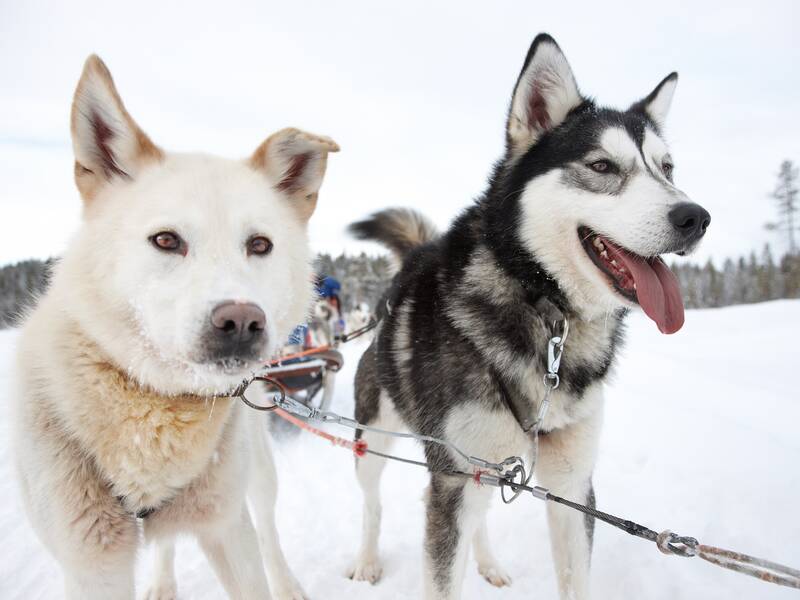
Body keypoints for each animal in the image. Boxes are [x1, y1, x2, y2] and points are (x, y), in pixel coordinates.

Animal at [12, 54, 338, 596]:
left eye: (260, 245)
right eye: (166, 240)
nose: (242, 320)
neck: (153, 409)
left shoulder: (227, 528)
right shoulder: (92, 561)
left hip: (256, 471)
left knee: (268, 528)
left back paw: (287, 583)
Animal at [346, 34, 708, 600]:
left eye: (667, 169)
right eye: (602, 166)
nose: (696, 217)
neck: (550, 314)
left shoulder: (572, 487)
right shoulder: (454, 479)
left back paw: (489, 563)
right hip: (375, 442)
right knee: (372, 503)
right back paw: (366, 561)